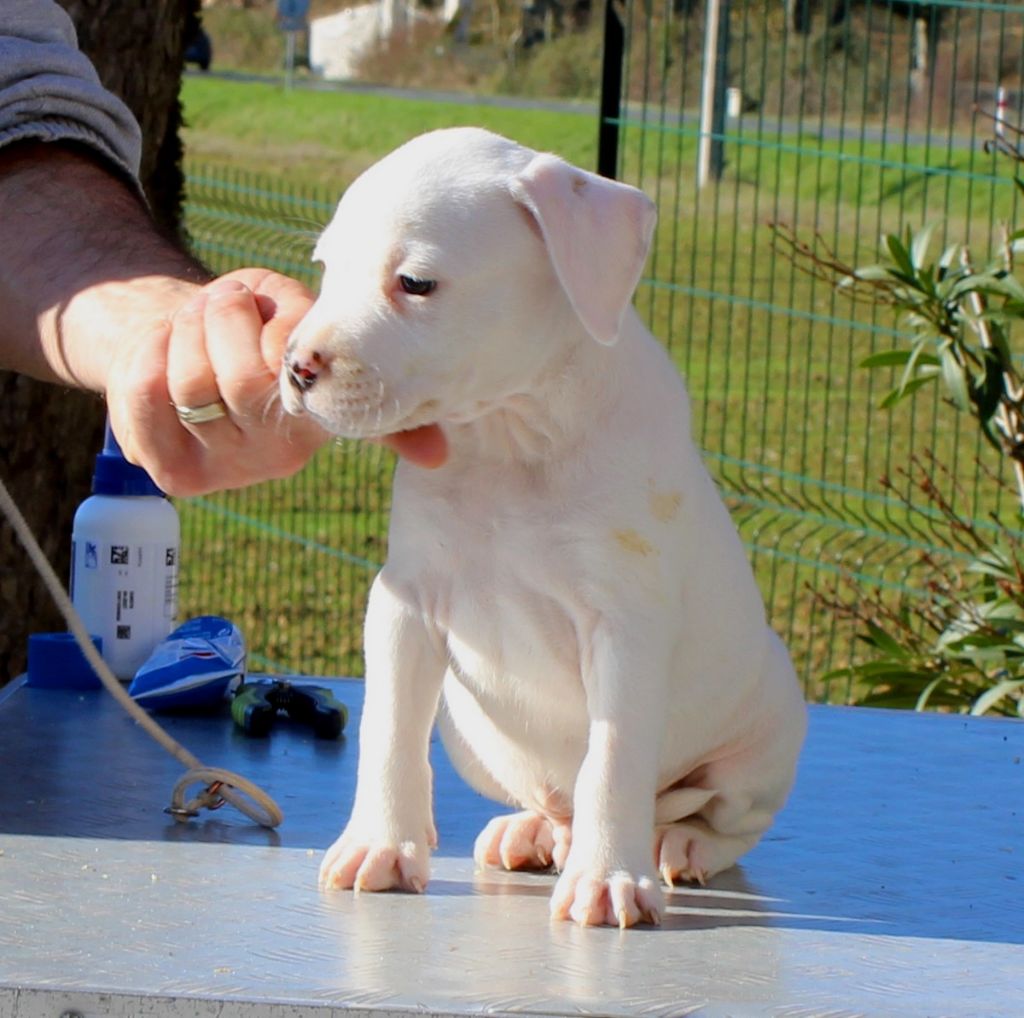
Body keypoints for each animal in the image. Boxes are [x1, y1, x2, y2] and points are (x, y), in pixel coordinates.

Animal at [282, 129, 806, 929]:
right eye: (326, 269)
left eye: (415, 283)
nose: (295, 368)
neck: (509, 438)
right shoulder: (404, 604)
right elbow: (389, 732)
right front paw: (381, 844)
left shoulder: (625, 629)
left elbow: (613, 761)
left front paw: (608, 879)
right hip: (473, 735)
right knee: (556, 799)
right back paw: (532, 832)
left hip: (770, 729)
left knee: (720, 818)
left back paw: (677, 845)